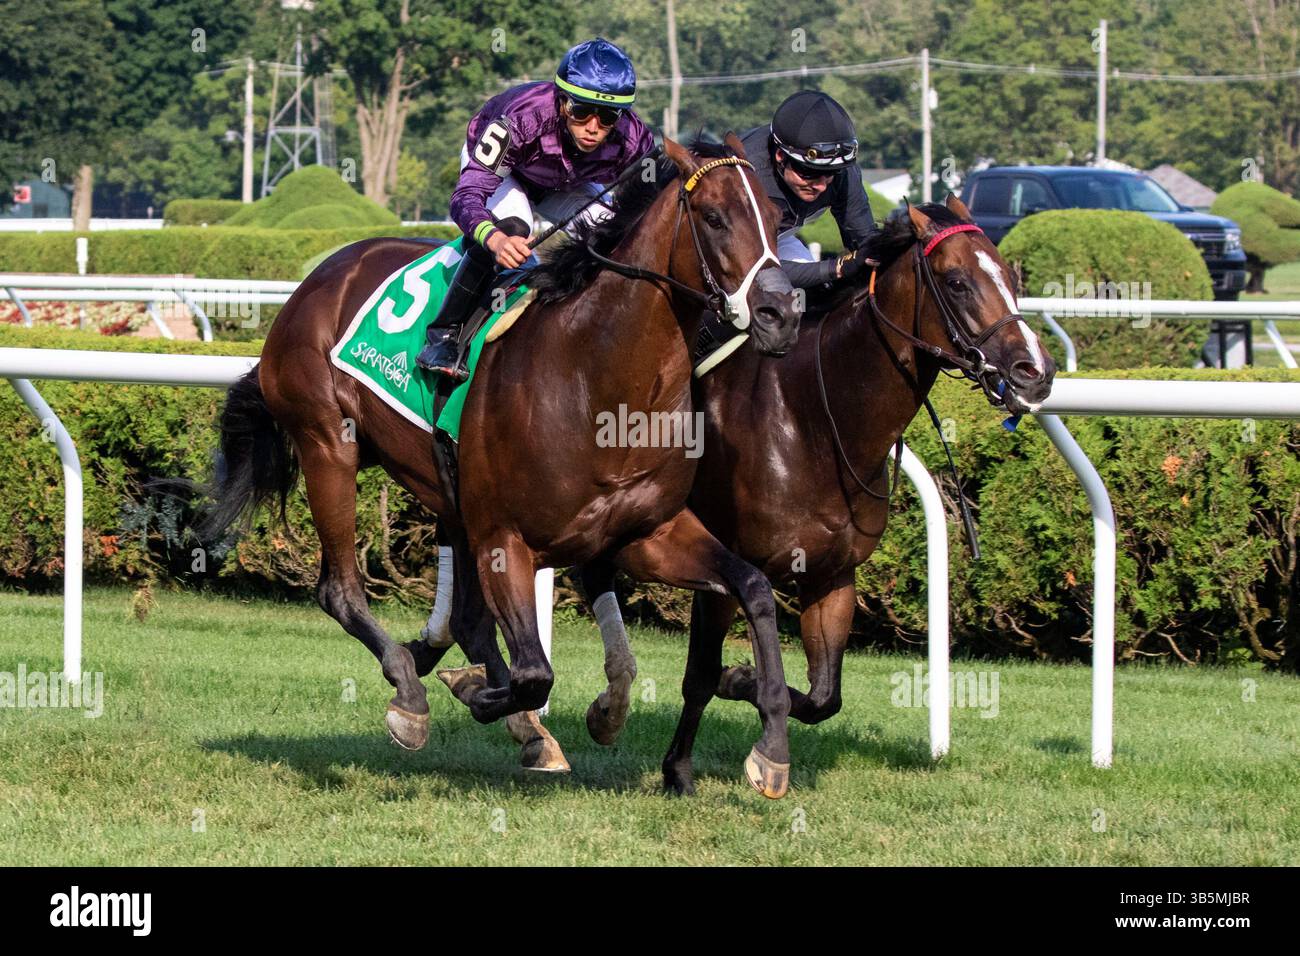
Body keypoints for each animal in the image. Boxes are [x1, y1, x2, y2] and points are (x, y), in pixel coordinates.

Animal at [190, 134, 803, 798]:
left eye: (778, 219)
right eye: (714, 217)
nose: (780, 315)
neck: (596, 375)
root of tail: (321, 275)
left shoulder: (645, 533)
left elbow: (753, 587)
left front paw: (771, 748)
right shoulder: (505, 539)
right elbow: (535, 673)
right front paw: (479, 695)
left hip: (445, 488)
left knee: (464, 620)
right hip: (329, 444)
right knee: (341, 591)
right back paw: (411, 693)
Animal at [425, 192, 1056, 763]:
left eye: (1011, 275)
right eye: (957, 282)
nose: (1036, 371)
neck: (814, 417)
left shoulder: (832, 575)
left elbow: (824, 696)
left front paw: (744, 689)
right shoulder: (722, 559)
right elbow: (702, 676)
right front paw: (689, 761)